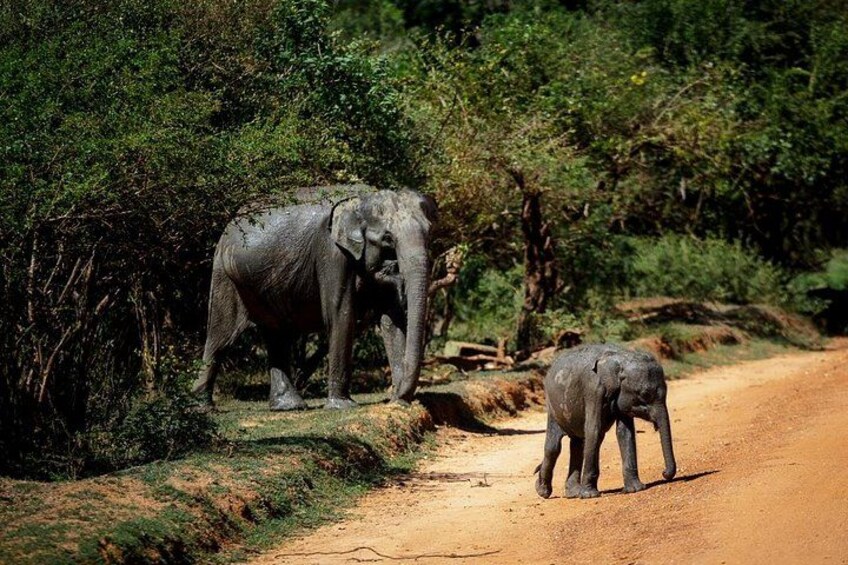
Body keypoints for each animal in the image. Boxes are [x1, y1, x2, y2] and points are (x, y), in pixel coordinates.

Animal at [192, 185, 437, 411]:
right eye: (388, 238)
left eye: (429, 232)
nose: (397, 398)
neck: (362, 200)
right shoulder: (331, 251)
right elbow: (341, 314)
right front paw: (343, 407)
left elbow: (391, 322)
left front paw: (401, 401)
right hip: (225, 274)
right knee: (221, 337)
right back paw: (204, 408)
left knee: (276, 335)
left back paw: (289, 406)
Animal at [534, 343, 677, 499]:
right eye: (644, 395)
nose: (664, 473)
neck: (620, 359)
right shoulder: (593, 390)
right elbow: (593, 430)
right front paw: (589, 496)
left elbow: (625, 432)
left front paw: (635, 489)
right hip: (552, 406)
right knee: (554, 447)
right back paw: (543, 491)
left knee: (579, 444)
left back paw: (573, 493)